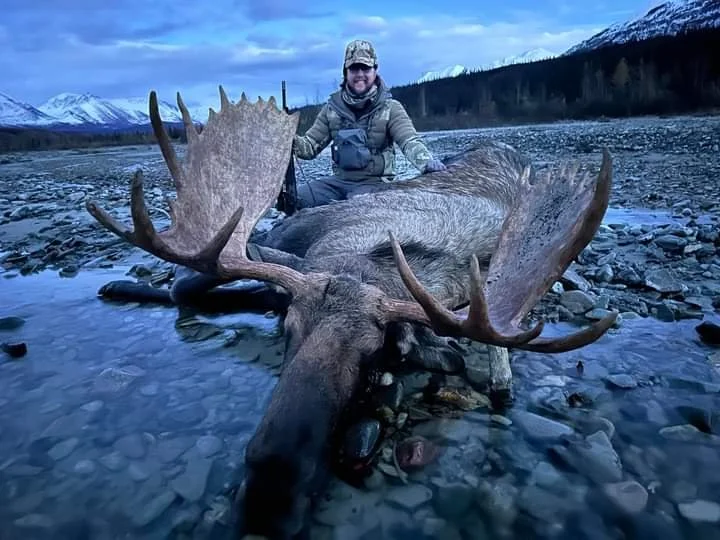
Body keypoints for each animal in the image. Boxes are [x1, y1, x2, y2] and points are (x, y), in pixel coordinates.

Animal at [85, 87, 617, 539]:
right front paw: (125, 286)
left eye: (377, 353)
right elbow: (187, 287)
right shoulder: (280, 244)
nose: (268, 498)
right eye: (289, 330)